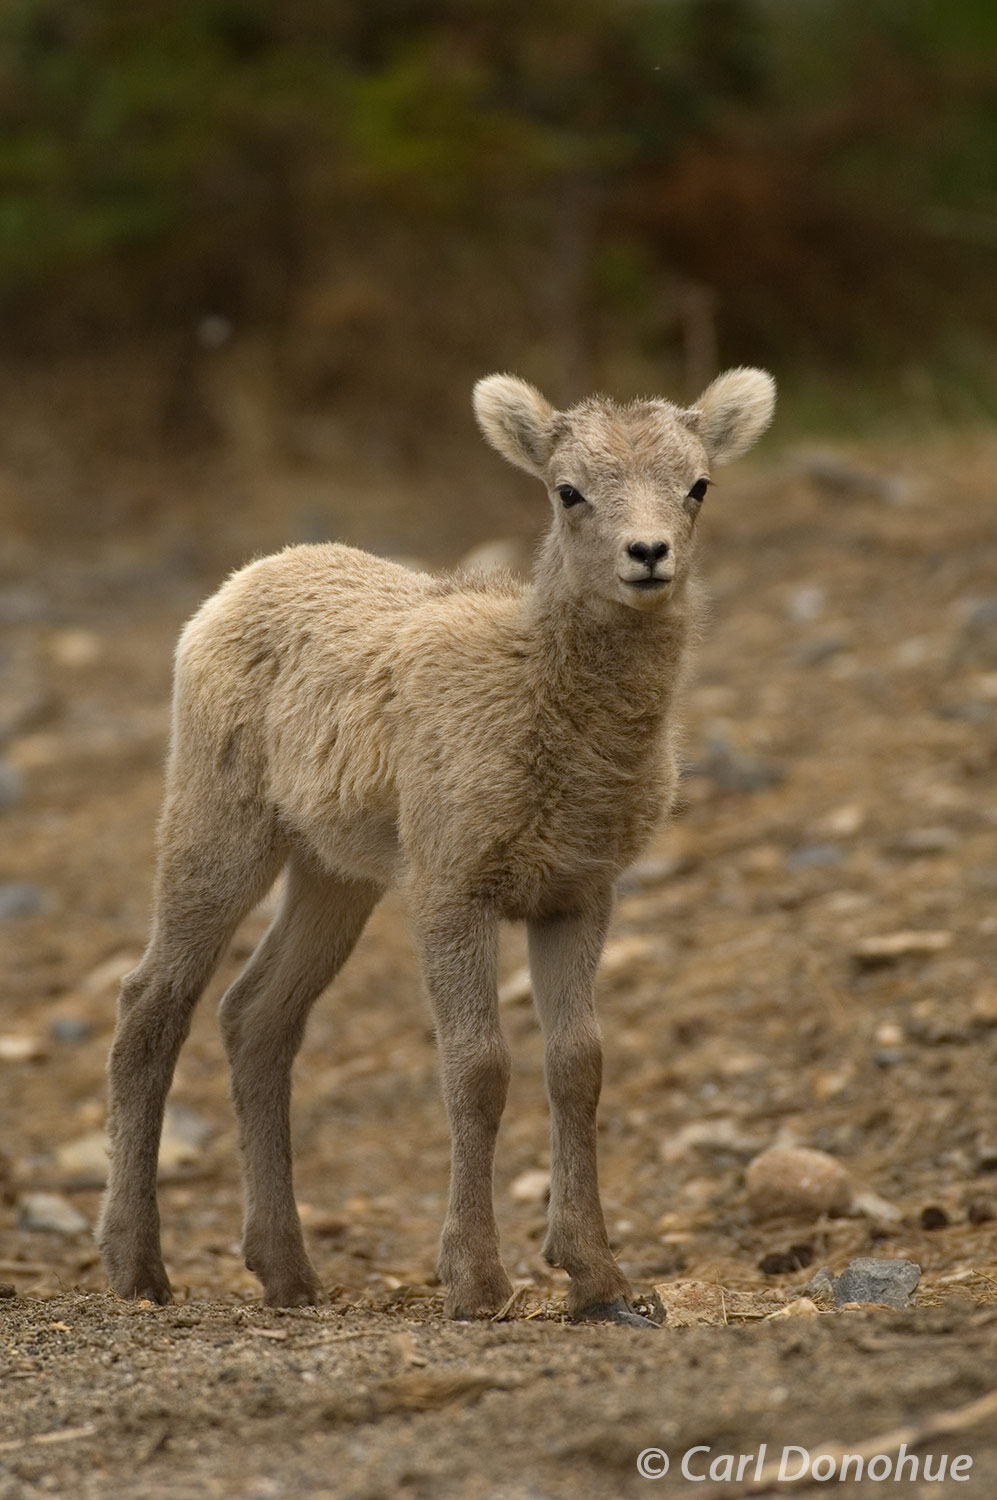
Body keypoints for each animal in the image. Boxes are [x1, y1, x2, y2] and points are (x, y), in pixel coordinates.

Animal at [97, 363, 773, 1326]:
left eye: (698, 485)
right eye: (566, 491)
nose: (647, 555)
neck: (550, 720)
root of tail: (230, 591)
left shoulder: (579, 892)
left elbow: (578, 1066)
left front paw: (598, 1277)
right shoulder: (453, 884)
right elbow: (477, 1069)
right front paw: (477, 1280)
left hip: (334, 872)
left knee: (256, 1017)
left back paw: (286, 1272)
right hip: (217, 825)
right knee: (149, 1003)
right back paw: (137, 1267)